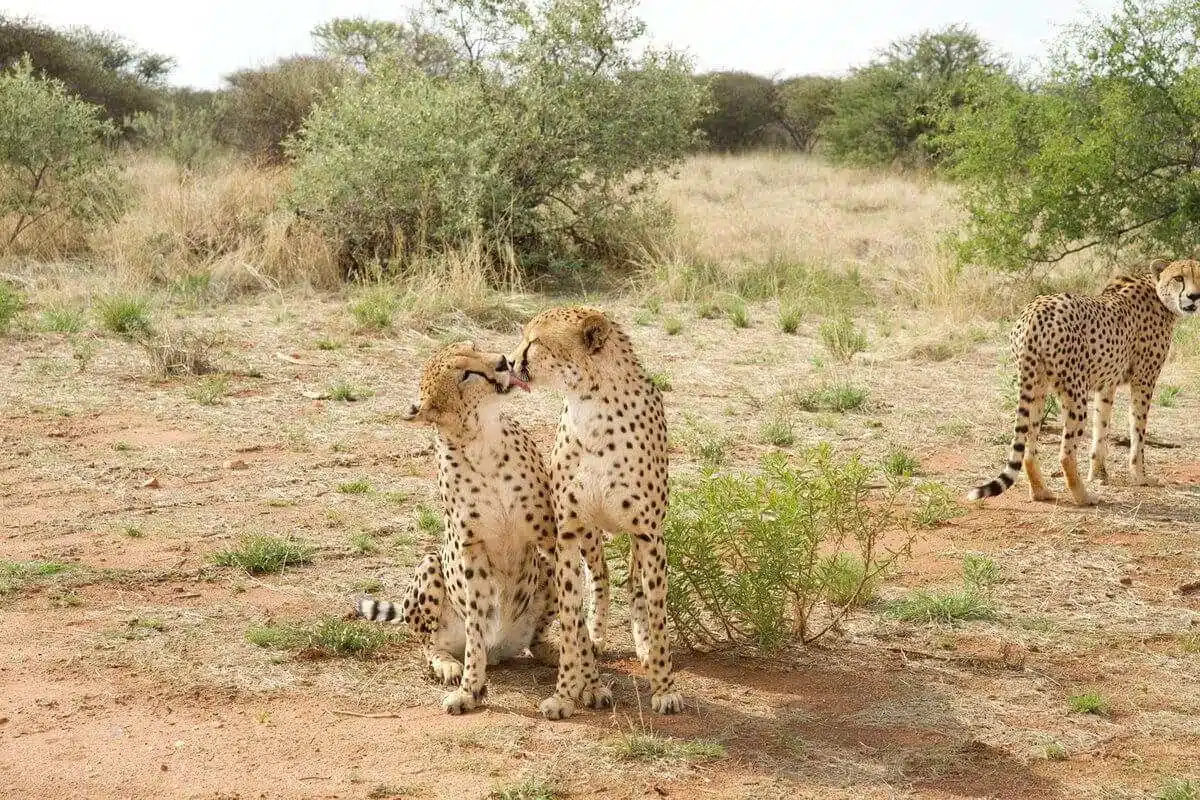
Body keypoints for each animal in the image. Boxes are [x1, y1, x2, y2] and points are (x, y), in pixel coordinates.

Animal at [355, 340, 561, 714]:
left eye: (474, 347)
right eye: (465, 375)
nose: (503, 361)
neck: (483, 439)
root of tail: (502, 651)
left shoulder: (549, 536)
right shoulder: (472, 549)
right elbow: (477, 623)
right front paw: (470, 689)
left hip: (542, 571)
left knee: (537, 638)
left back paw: (550, 650)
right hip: (430, 565)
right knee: (427, 641)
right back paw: (448, 664)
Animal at [508, 304, 686, 719]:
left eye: (534, 342)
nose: (509, 361)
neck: (590, 405)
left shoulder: (648, 533)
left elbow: (657, 612)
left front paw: (664, 687)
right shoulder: (569, 533)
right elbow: (570, 615)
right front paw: (566, 692)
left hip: (643, 538)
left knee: (636, 587)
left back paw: (643, 648)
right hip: (591, 535)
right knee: (601, 577)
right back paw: (596, 636)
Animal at [964, 260, 1200, 503]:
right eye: (1178, 278)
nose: (1194, 296)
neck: (1159, 294)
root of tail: (1035, 310)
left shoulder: (1107, 385)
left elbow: (1101, 428)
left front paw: (1099, 474)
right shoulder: (1143, 381)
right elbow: (1138, 430)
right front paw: (1140, 476)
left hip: (1036, 387)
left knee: (1029, 447)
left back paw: (1041, 492)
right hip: (1075, 393)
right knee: (1065, 453)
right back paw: (1084, 497)